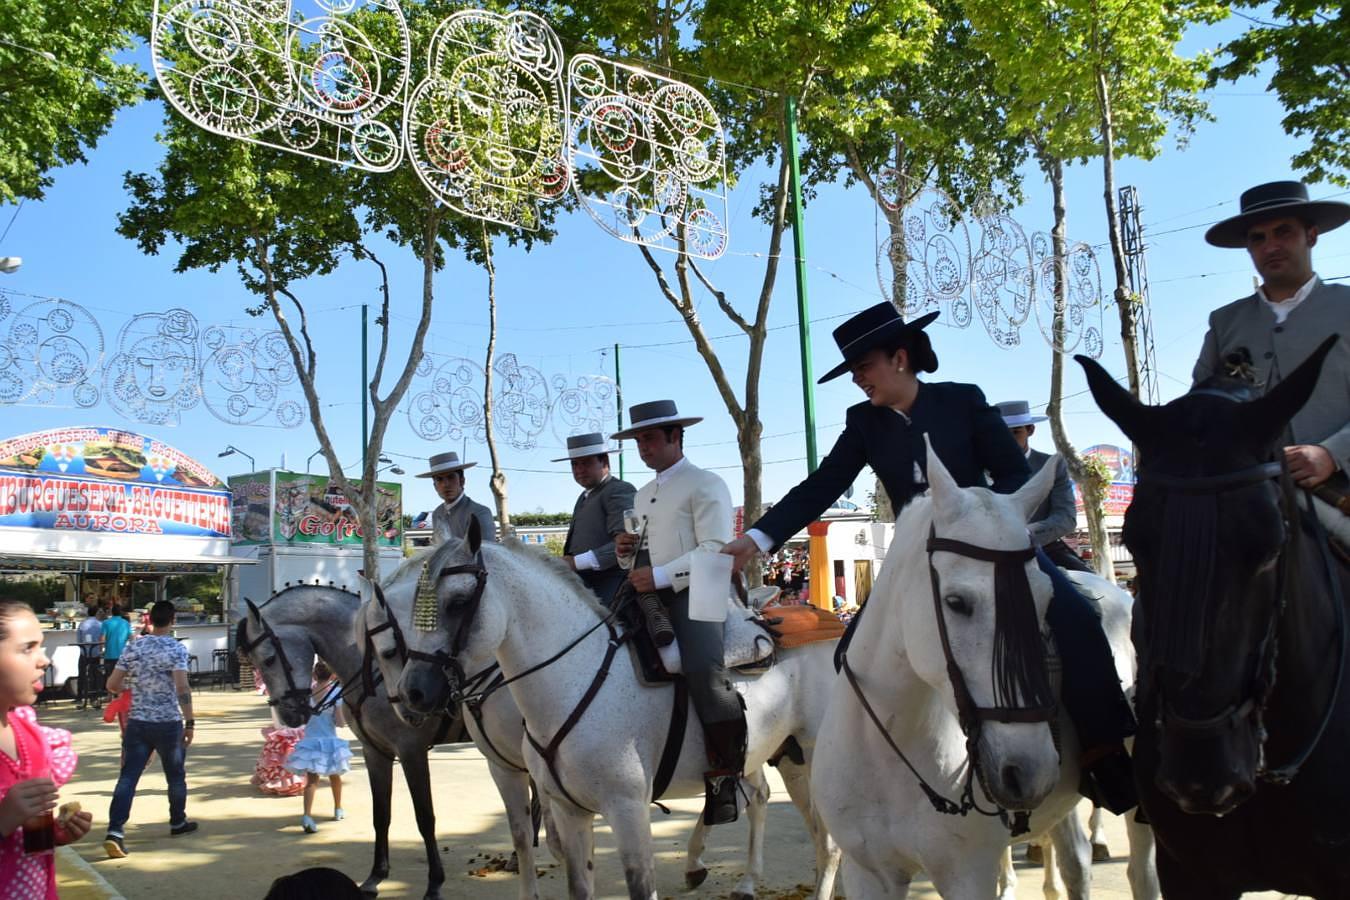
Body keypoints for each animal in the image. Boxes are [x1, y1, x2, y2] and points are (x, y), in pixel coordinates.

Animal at [364, 531, 837, 900]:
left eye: (459, 601)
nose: (412, 693)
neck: (575, 677)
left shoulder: (627, 811)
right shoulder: (561, 805)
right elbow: (550, 858)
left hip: (812, 756)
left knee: (827, 839)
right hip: (779, 753)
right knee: (782, 812)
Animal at [810, 450, 1161, 900]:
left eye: (1046, 601)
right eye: (956, 602)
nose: (1029, 770)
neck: (889, 747)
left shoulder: (967, 875)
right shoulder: (869, 873)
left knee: (1139, 871)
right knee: (1075, 862)